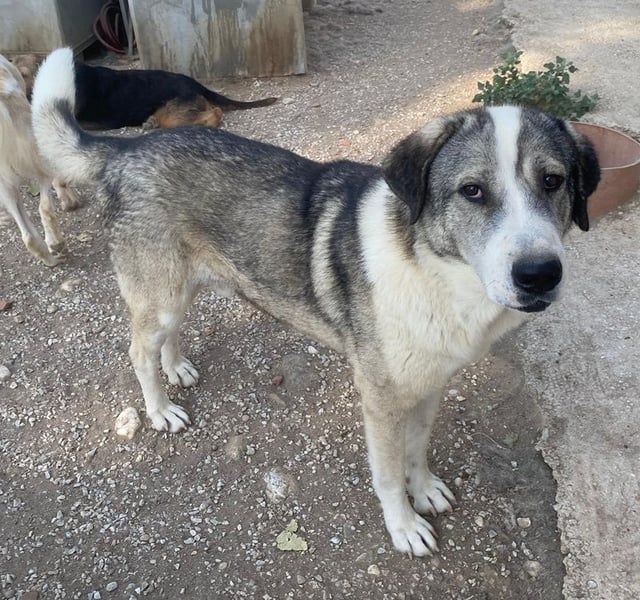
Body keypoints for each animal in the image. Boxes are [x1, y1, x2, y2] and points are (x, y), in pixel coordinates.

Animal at [32, 48, 599, 556]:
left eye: (553, 181)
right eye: (473, 191)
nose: (539, 274)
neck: (435, 271)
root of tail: (125, 151)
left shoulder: (428, 385)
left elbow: (417, 452)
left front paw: (424, 490)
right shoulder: (382, 401)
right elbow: (388, 475)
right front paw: (403, 526)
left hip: (179, 289)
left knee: (166, 338)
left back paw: (177, 368)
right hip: (161, 293)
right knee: (139, 352)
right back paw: (160, 410)